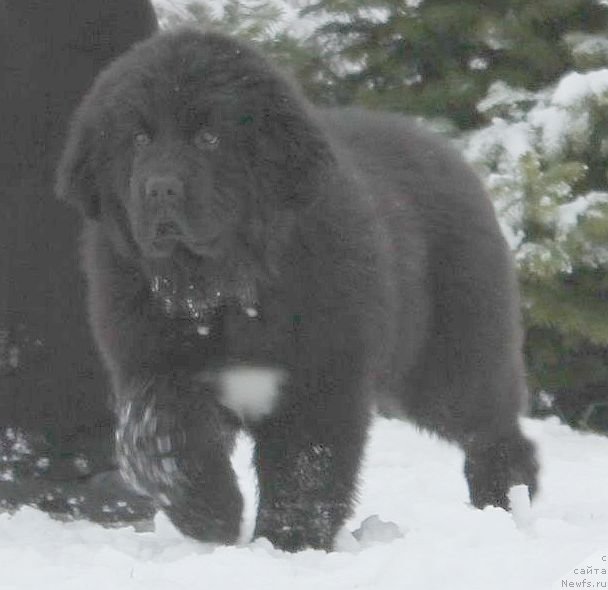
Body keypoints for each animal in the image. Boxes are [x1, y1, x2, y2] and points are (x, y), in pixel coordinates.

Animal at [55, 28, 536, 556]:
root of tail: (444, 148)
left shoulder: (321, 383)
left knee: (492, 428)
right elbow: (164, 440)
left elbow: (305, 472)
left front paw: (288, 544)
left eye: (209, 138)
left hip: (444, 365)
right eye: (139, 139)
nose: (159, 189)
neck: (221, 288)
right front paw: (212, 515)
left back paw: (505, 502)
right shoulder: (156, 368)